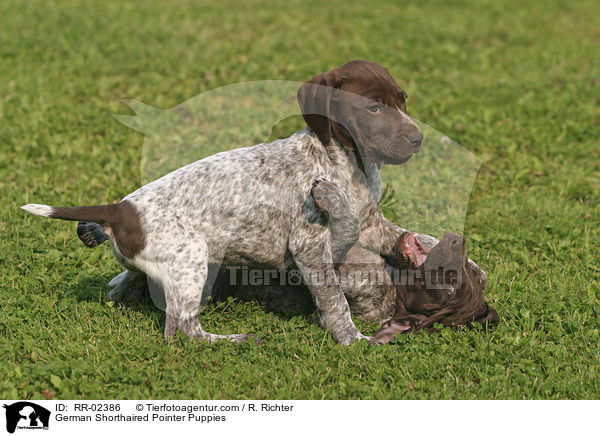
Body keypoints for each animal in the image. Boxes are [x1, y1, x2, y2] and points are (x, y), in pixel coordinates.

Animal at [21, 60, 462, 344]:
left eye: (403, 101)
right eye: (373, 107)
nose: (418, 138)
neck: (348, 162)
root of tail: (121, 210)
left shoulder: (371, 224)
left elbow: (402, 235)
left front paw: (429, 250)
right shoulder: (312, 245)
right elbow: (335, 300)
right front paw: (352, 339)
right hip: (191, 263)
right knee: (181, 331)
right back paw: (232, 339)